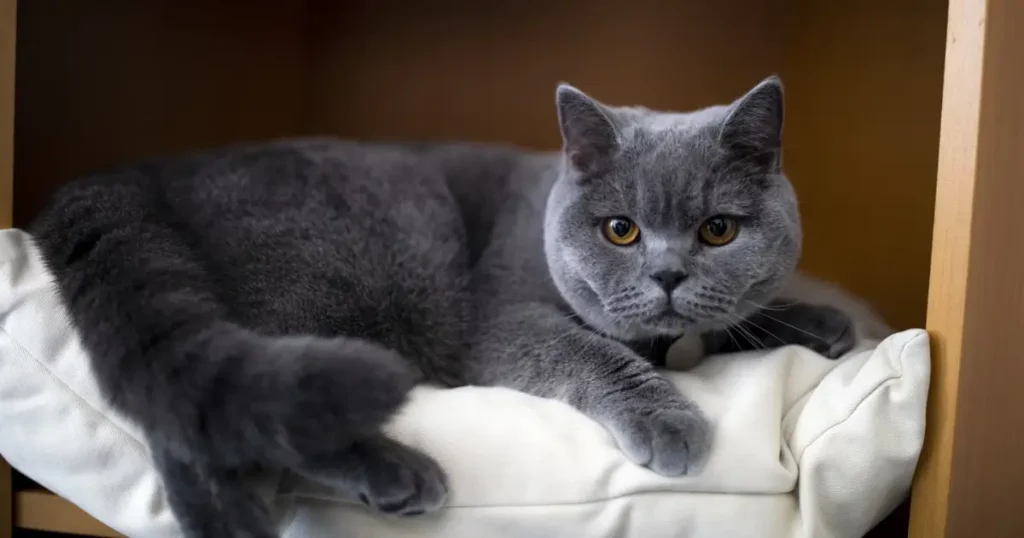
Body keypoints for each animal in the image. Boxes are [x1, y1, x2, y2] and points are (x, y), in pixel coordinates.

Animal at [25, 75, 856, 536]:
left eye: (718, 229)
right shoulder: (503, 322)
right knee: (216, 412)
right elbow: (589, 351)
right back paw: (375, 480)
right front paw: (668, 420)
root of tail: (138, 173)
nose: (668, 275)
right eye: (621, 230)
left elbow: (731, 322)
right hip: (357, 268)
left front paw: (820, 324)